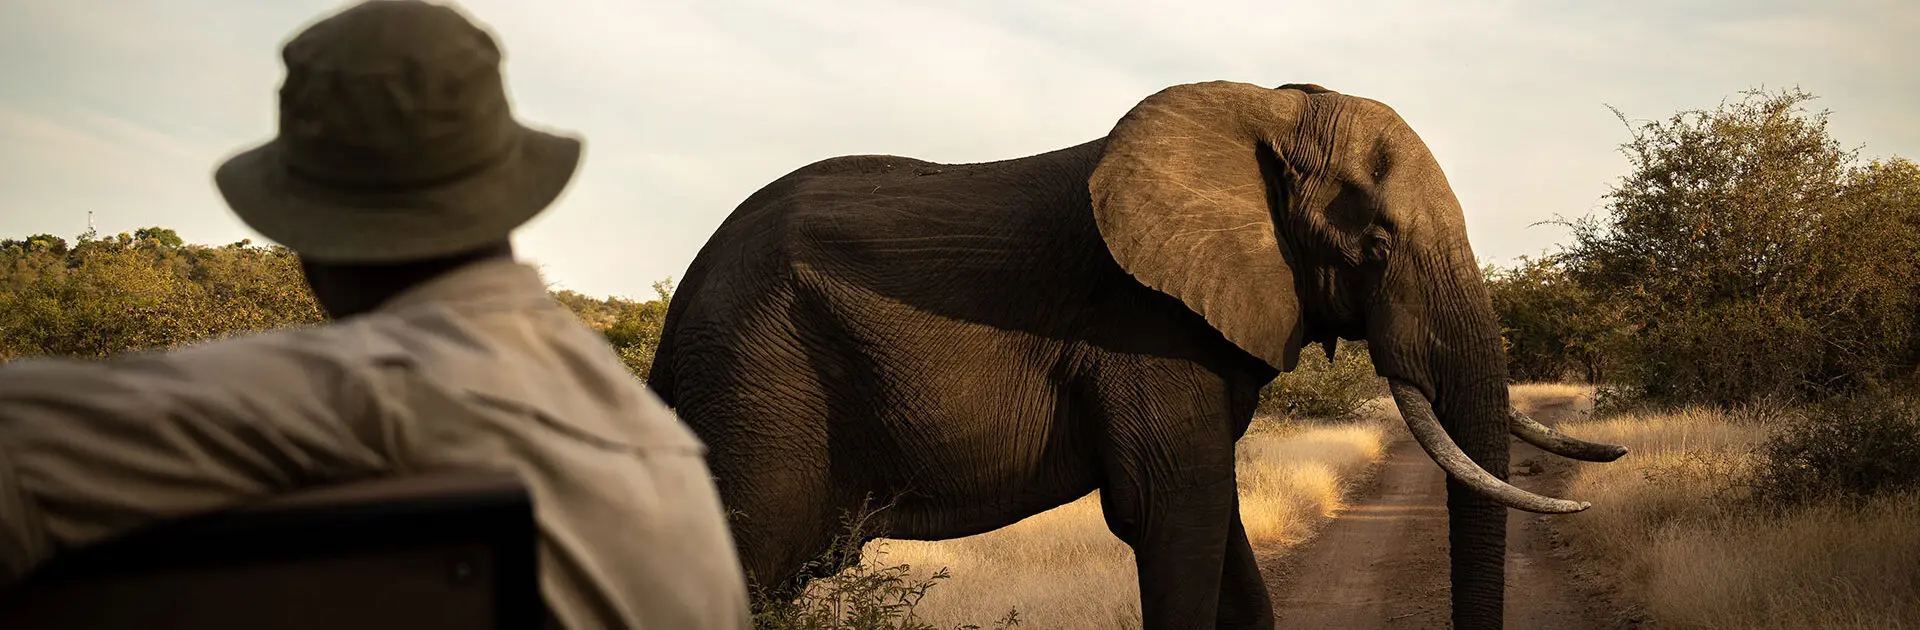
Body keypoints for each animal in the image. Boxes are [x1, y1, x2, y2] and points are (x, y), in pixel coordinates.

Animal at [648, 80, 1628, 629]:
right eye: (1376, 246)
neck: (1262, 114)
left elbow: (1218, 532)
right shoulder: (1142, 328)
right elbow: (1172, 512)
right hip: (756, 385)